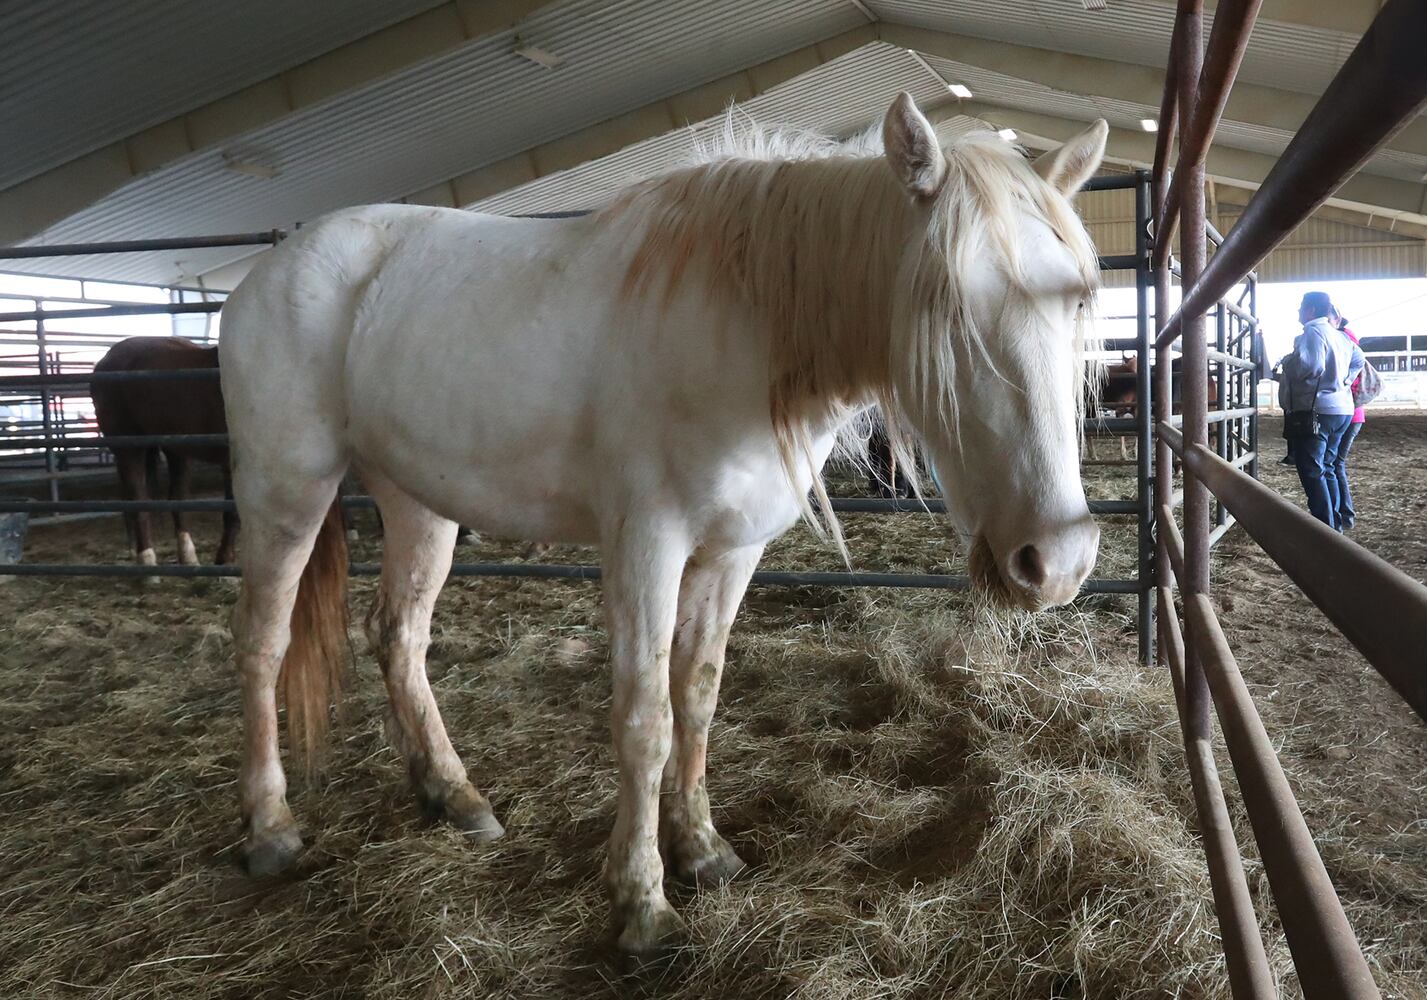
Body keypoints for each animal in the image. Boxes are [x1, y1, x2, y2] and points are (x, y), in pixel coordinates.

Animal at [90, 338, 235, 564]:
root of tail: (105, 361)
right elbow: (232, 514)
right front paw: (224, 561)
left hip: (177, 450)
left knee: (177, 498)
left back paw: (188, 558)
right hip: (128, 448)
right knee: (139, 503)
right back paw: (148, 562)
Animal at [222, 93, 1107, 952]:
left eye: (1076, 300)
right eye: (947, 305)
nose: (1055, 560)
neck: (745, 323)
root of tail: (271, 269)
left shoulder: (731, 553)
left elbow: (699, 695)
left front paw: (702, 850)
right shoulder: (646, 546)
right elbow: (645, 716)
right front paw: (642, 901)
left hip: (417, 500)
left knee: (397, 634)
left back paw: (454, 796)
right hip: (286, 490)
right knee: (263, 643)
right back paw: (270, 828)